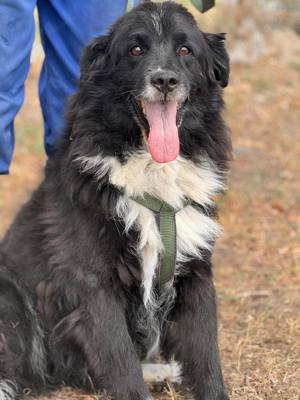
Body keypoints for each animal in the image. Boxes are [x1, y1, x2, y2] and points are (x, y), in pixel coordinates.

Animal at [0, 3, 232, 400]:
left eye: (186, 50)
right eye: (135, 50)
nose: (165, 81)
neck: (153, 167)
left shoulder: (196, 272)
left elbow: (206, 354)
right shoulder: (94, 282)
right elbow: (119, 358)